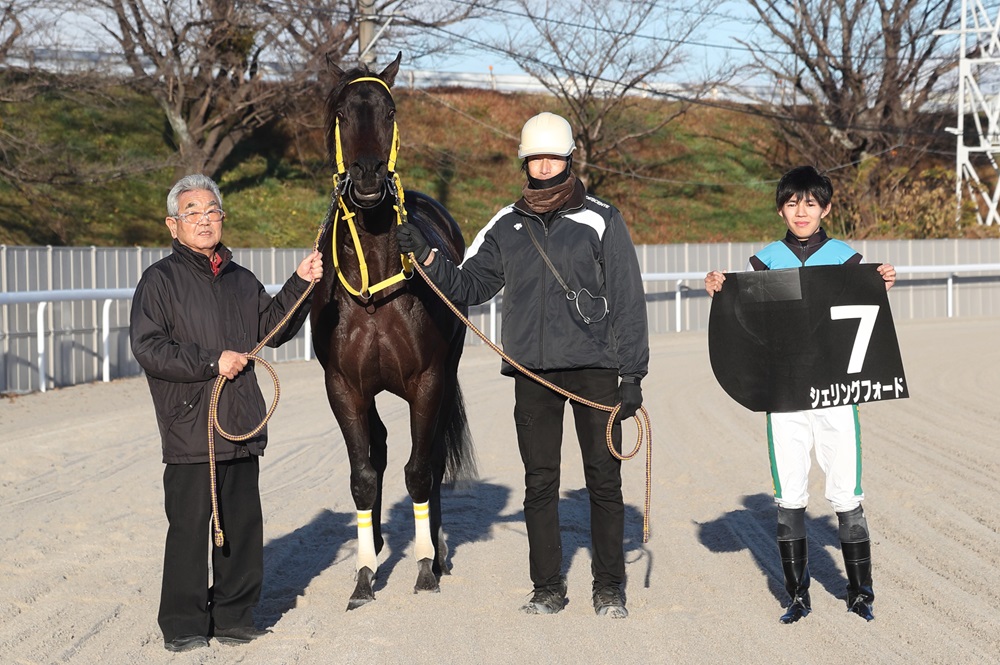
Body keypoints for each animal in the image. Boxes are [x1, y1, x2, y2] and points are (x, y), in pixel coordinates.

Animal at [310, 54, 474, 608]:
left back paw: (438, 552)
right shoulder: (343, 386)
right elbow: (363, 475)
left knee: (432, 457)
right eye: (341, 112)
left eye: (390, 109)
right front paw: (363, 575)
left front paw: (425, 567)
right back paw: (378, 543)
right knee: (378, 448)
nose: (367, 176)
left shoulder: (428, 380)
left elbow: (421, 470)